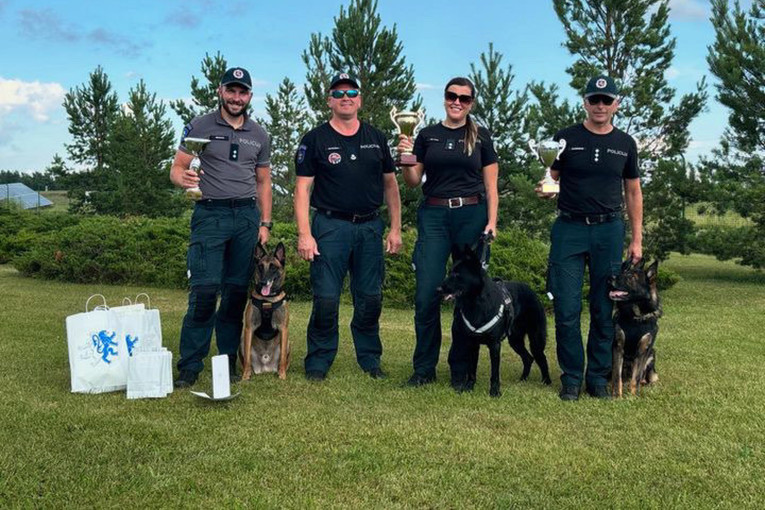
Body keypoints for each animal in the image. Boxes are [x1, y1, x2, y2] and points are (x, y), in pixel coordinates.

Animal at [239, 242, 290, 378]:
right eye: (261, 267)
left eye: (273, 268)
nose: (263, 282)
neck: (268, 300)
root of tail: (265, 367)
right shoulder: (249, 328)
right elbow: (247, 359)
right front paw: (245, 377)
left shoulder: (283, 329)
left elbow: (282, 357)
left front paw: (282, 376)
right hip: (242, 342)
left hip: (288, 343)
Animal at [436, 241, 548, 396]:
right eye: (450, 272)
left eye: (457, 274)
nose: (438, 290)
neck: (476, 303)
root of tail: (531, 291)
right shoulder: (473, 344)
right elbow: (472, 370)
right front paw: (468, 387)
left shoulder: (495, 345)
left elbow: (494, 373)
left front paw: (494, 392)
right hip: (515, 340)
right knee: (528, 358)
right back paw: (523, 379)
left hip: (536, 340)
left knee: (541, 358)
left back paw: (546, 381)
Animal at [604, 258, 660, 398]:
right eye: (622, 272)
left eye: (630, 277)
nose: (609, 278)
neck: (635, 317)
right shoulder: (618, 347)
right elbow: (616, 377)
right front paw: (617, 397)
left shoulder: (643, 350)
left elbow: (636, 377)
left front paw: (633, 397)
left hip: (652, 353)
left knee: (649, 377)